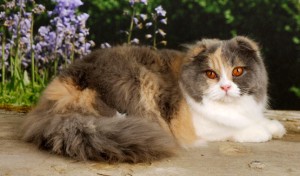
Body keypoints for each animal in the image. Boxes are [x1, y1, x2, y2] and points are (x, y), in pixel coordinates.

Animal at [21, 36, 286, 164]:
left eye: (237, 71)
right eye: (211, 74)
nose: (225, 86)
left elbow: (256, 119)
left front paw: (273, 126)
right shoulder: (201, 126)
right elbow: (233, 128)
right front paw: (260, 132)